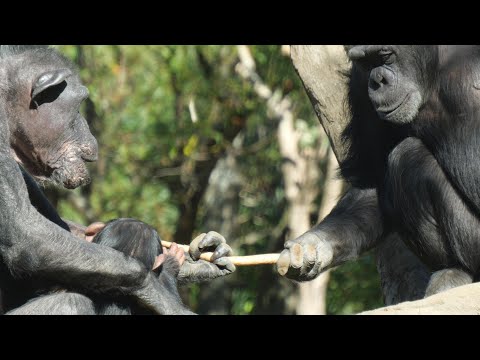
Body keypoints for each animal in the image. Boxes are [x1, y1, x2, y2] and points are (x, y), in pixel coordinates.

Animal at [0, 45, 234, 316]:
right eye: (78, 107)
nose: (91, 138)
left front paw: (200, 260)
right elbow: (27, 233)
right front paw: (155, 287)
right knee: (71, 302)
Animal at [278, 45, 480, 296]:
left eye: (384, 55)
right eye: (367, 63)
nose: (377, 80)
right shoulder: (359, 84)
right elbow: (371, 180)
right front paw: (314, 244)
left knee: (409, 156)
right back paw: (455, 271)